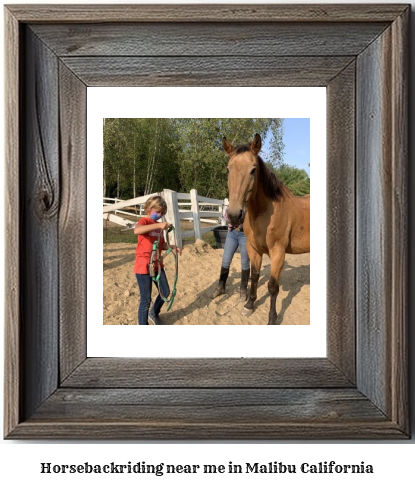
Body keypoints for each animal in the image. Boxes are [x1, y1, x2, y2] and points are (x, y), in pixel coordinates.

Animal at [224, 132, 308, 324]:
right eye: (228, 169)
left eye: (253, 169)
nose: (234, 215)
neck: (265, 212)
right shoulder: (253, 249)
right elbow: (254, 276)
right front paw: (249, 305)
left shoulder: (278, 252)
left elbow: (272, 286)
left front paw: (272, 318)